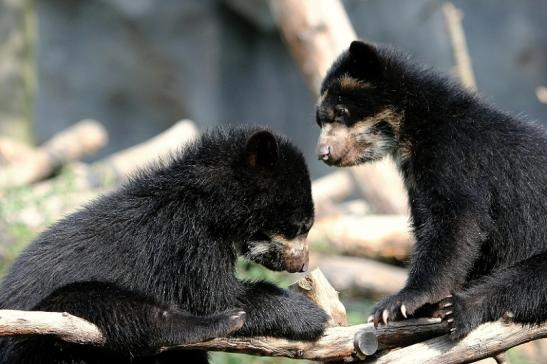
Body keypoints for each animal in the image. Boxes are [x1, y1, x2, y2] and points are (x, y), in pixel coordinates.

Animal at [0, 126, 328, 362]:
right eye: (301, 227)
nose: (302, 264)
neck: (211, 207)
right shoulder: (186, 242)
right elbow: (216, 296)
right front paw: (310, 315)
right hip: (40, 325)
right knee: (124, 310)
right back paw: (222, 323)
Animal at [314, 41, 547, 340]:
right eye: (320, 122)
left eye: (341, 113)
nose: (324, 153)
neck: (412, 127)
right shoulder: (416, 179)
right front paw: (422, 306)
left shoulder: (454, 155)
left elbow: (455, 223)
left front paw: (403, 302)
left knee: (527, 282)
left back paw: (459, 310)